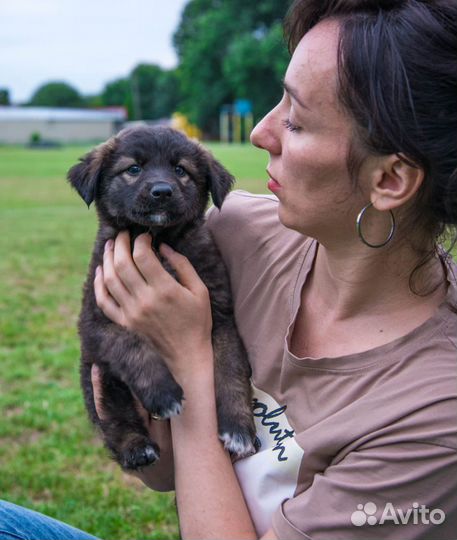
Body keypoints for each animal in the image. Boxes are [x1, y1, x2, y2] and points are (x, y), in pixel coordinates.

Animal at [66, 125, 255, 468]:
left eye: (180, 170)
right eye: (133, 169)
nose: (162, 191)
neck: (155, 240)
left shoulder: (221, 318)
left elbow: (230, 370)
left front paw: (238, 428)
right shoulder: (94, 320)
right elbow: (131, 344)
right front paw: (162, 392)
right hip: (96, 374)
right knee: (112, 415)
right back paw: (136, 447)